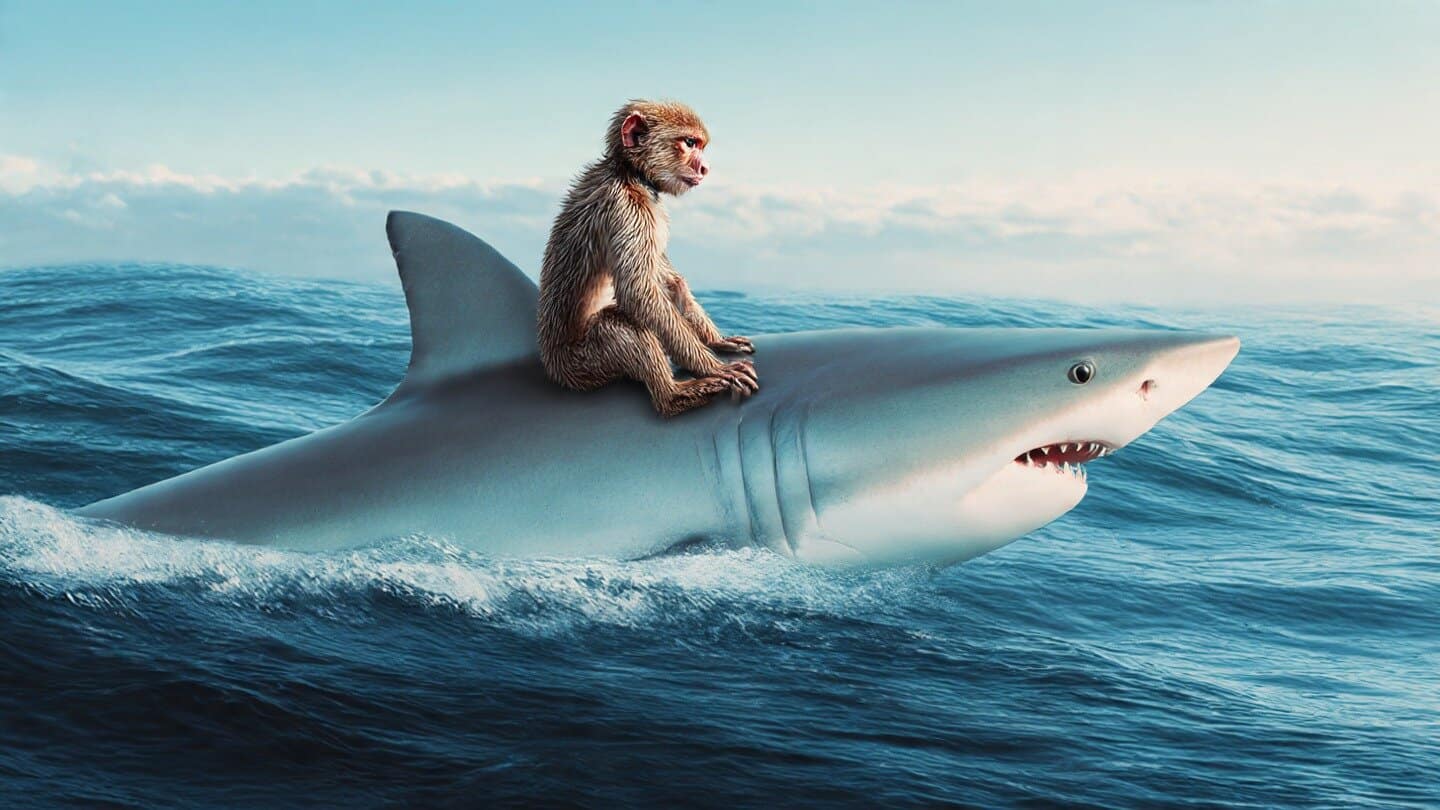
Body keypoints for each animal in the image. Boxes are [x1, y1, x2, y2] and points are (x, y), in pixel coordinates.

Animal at [537, 99, 758, 418]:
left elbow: (670, 280)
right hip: (584, 363)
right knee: (618, 323)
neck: (632, 174)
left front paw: (716, 341)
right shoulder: (625, 207)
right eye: (689, 143)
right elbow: (638, 293)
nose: (704, 167)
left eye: (699, 145)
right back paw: (672, 396)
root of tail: (554, 367)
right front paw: (712, 367)